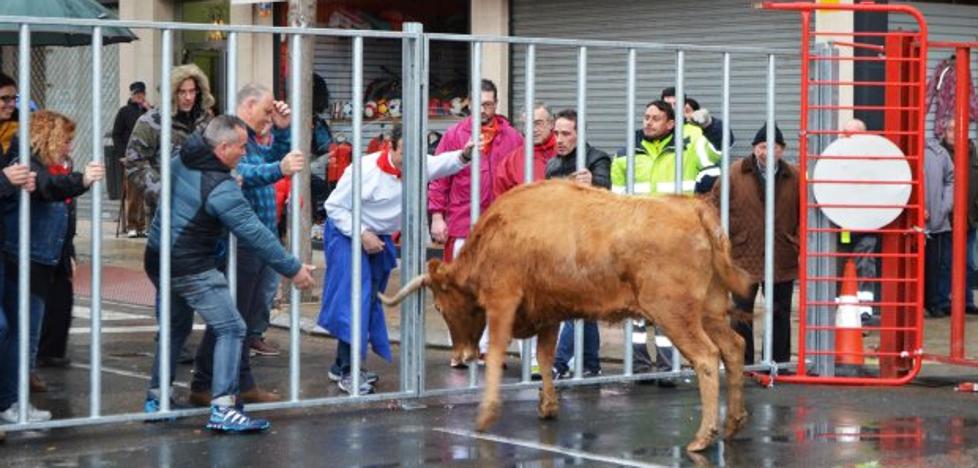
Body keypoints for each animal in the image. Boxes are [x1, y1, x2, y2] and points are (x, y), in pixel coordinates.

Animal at [378, 179, 752, 450]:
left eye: (439, 307)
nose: (464, 354)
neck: (497, 233)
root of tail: (693, 208)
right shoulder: (549, 312)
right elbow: (545, 357)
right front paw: (548, 406)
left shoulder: (503, 301)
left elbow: (498, 350)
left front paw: (487, 414)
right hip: (710, 312)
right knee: (734, 347)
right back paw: (733, 423)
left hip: (675, 313)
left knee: (707, 357)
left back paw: (703, 436)